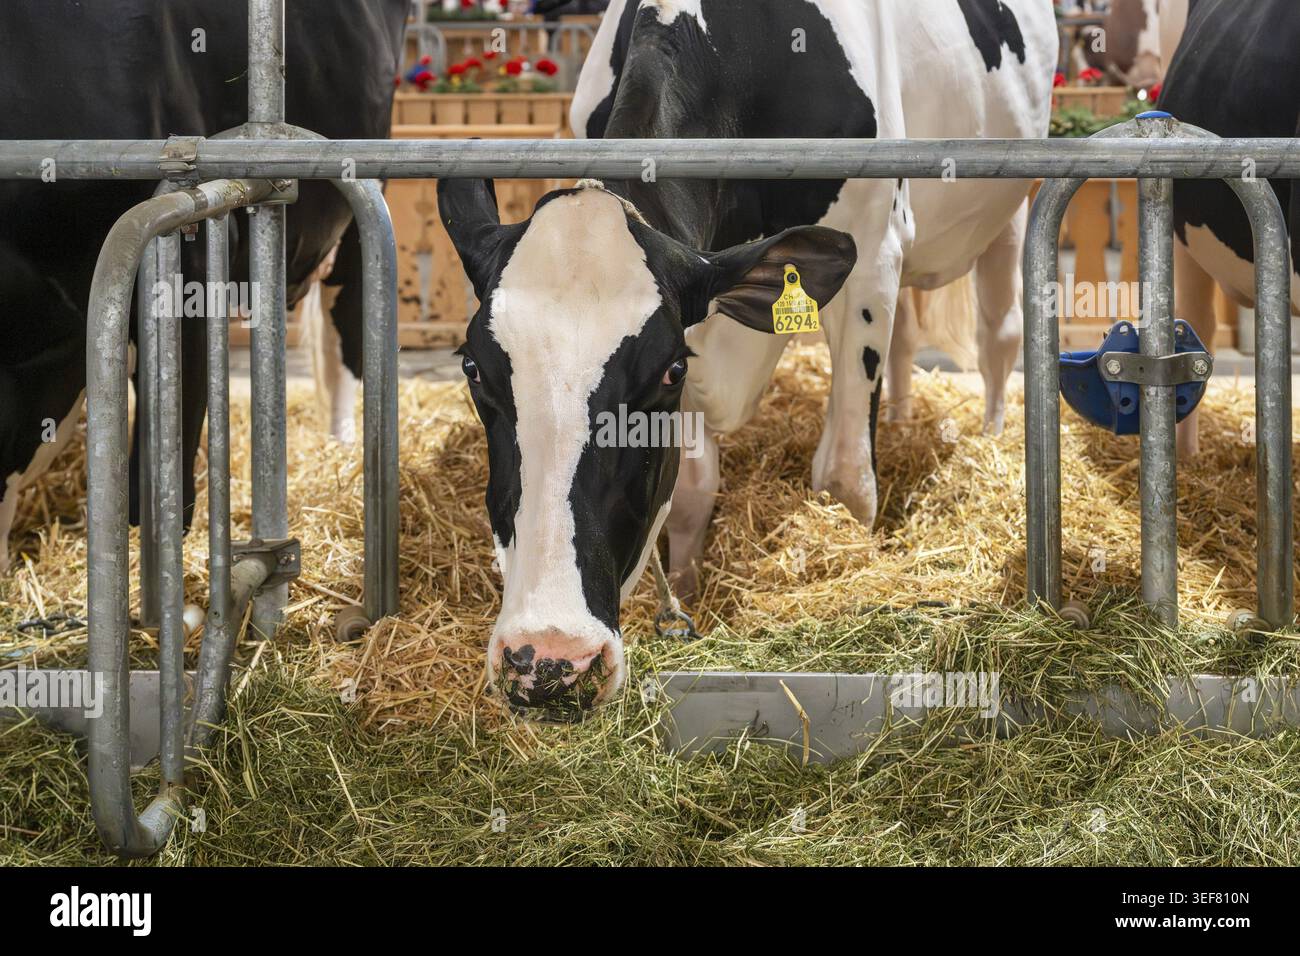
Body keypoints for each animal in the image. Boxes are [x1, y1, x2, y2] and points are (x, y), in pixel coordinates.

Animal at [439, 0, 1056, 717]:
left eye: (667, 371)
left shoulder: (873, 249)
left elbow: (846, 479)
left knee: (998, 334)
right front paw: (686, 593)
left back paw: (992, 436)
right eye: (473, 368)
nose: (549, 659)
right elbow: (690, 491)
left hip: (1009, 206)